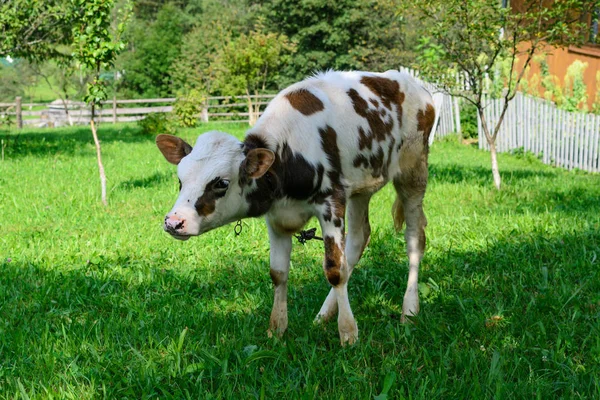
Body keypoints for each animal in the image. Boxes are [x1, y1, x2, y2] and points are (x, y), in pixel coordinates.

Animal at [157, 70, 434, 346]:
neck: (288, 155)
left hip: (413, 172)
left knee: (414, 239)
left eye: (221, 183)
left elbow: (335, 269)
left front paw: (348, 333)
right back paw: (323, 314)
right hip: (360, 189)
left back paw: (409, 310)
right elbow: (278, 273)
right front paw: (277, 329)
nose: (174, 221)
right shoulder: (276, 218)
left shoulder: (331, 203)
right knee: (359, 238)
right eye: (180, 179)